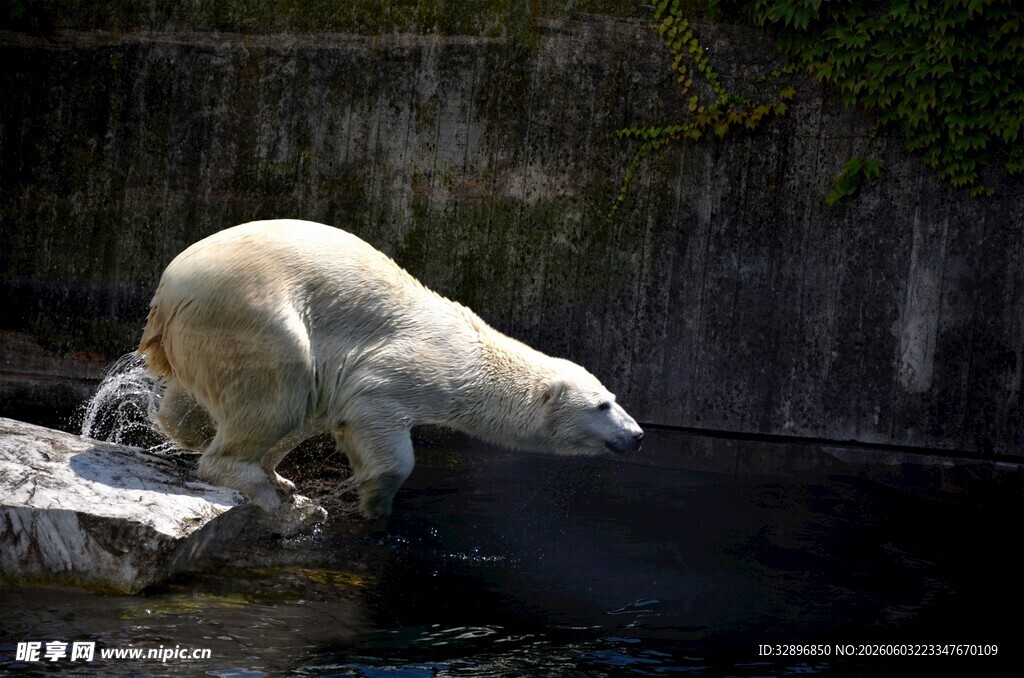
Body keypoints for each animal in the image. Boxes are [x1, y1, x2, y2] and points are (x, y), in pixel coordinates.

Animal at [138, 219, 644, 518]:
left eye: (615, 398)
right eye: (602, 405)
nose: (637, 435)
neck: (474, 352)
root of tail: (169, 289)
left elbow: (323, 412)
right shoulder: (409, 368)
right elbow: (375, 417)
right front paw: (374, 503)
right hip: (251, 315)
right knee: (281, 386)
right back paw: (262, 489)